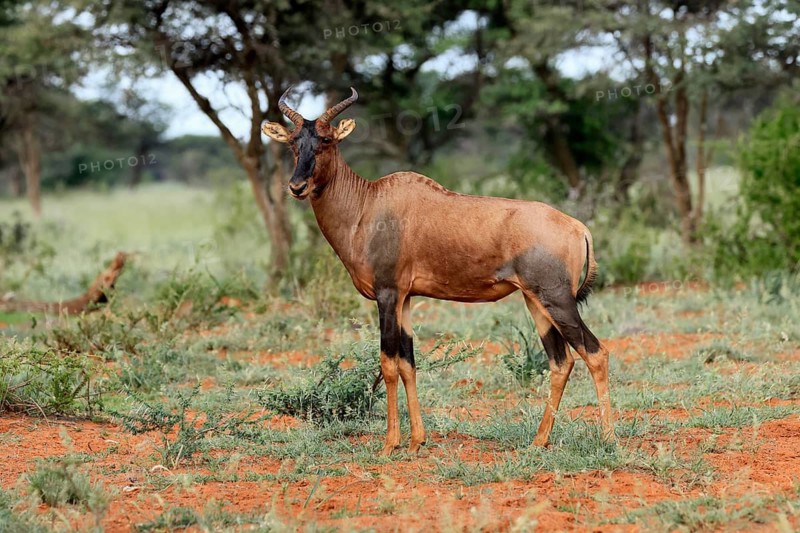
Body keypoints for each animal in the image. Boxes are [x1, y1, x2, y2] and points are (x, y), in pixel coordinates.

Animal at [262, 88, 613, 456]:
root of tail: (577, 227)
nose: (297, 186)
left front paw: (389, 444)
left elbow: (388, 364)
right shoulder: (405, 299)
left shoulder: (387, 295)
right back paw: (538, 441)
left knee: (595, 353)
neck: (369, 204)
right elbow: (408, 364)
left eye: (327, 140)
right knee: (561, 362)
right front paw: (417, 441)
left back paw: (607, 439)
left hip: (558, 300)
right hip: (536, 302)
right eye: (293, 142)